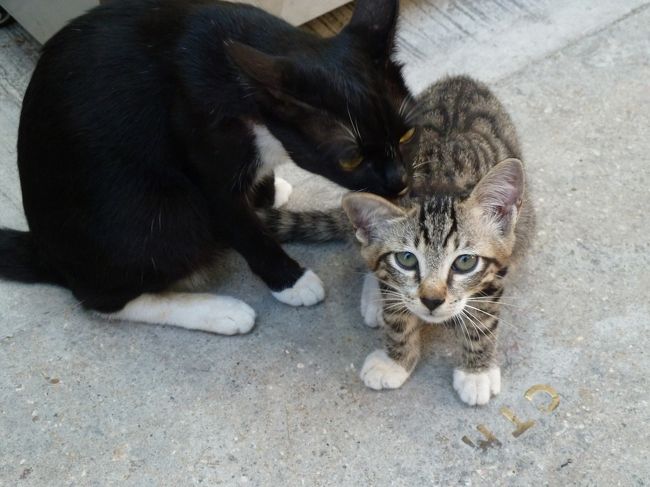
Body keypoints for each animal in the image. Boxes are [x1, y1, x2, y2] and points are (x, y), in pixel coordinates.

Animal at [0, 0, 418, 336]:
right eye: (351, 158)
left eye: (407, 132)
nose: (399, 182)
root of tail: (46, 251)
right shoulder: (196, 137)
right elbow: (240, 225)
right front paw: (291, 281)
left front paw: (268, 191)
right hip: (162, 214)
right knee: (101, 299)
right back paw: (221, 312)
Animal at [340, 75, 532, 404]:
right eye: (406, 259)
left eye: (465, 262)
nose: (431, 301)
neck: (440, 179)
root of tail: (461, 79)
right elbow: (396, 312)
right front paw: (396, 360)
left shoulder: (498, 262)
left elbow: (484, 315)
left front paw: (476, 371)